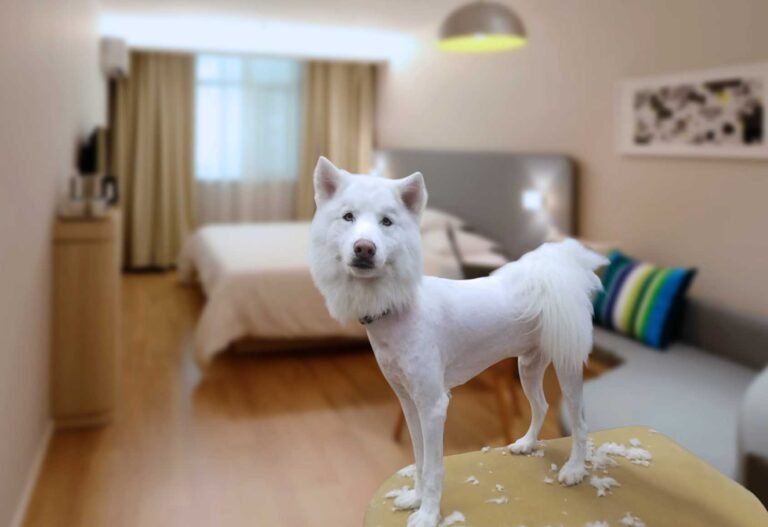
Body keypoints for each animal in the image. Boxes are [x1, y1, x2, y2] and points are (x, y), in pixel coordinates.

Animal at [308, 158, 608, 527]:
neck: (401, 309)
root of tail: (556, 271)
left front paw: (428, 514)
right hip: (528, 365)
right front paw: (415, 499)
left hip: (566, 368)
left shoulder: (434, 405)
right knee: (540, 406)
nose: (364, 248)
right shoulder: (409, 403)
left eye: (387, 222)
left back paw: (575, 470)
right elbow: (420, 459)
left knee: (579, 422)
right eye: (348, 217)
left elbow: (434, 467)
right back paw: (526, 443)